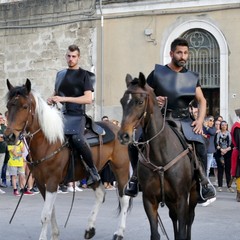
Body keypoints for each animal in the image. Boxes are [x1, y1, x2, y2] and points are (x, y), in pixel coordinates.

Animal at [3, 79, 131, 240]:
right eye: (8, 106)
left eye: (25, 107)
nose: (8, 136)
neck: (48, 142)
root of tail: (117, 129)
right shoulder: (41, 183)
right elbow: (51, 211)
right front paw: (55, 234)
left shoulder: (52, 181)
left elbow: (45, 215)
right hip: (94, 172)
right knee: (101, 194)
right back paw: (90, 229)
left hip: (121, 169)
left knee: (124, 199)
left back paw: (119, 232)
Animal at [117, 73, 198, 240]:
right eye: (122, 101)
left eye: (140, 102)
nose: (123, 135)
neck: (160, 154)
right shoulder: (149, 200)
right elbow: (155, 233)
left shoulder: (182, 198)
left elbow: (183, 229)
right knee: (174, 217)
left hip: (192, 193)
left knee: (189, 219)